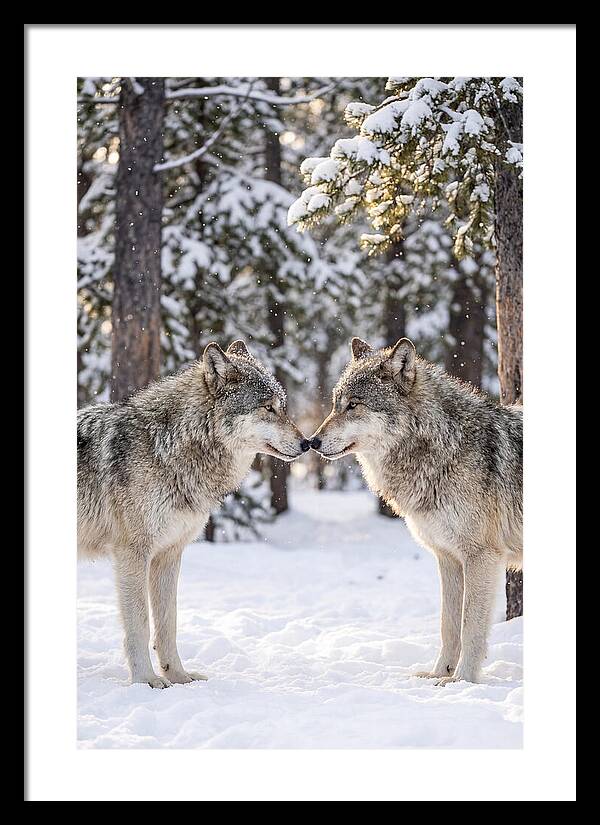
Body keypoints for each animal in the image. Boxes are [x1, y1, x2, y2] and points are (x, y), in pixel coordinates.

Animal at [78, 340, 309, 688]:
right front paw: (146, 680)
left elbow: (168, 623)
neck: (166, 448)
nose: (308, 443)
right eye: (268, 408)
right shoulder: (132, 553)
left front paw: (178, 676)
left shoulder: (169, 554)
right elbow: (140, 623)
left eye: (282, 407)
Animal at [310, 337, 522, 684]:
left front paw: (461, 681)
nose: (311, 441)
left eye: (354, 405)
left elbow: (470, 627)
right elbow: (448, 625)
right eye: (335, 404)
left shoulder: (481, 557)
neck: (445, 447)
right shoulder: (448, 558)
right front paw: (439, 673)